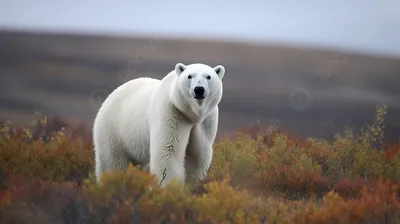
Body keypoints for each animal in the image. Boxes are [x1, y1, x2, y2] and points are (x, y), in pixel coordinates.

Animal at [92, 61, 227, 187]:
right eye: (189, 76)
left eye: (208, 76)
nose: (199, 89)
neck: (191, 113)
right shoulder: (171, 111)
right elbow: (168, 149)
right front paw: (169, 188)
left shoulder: (206, 121)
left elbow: (198, 154)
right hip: (114, 130)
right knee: (113, 163)